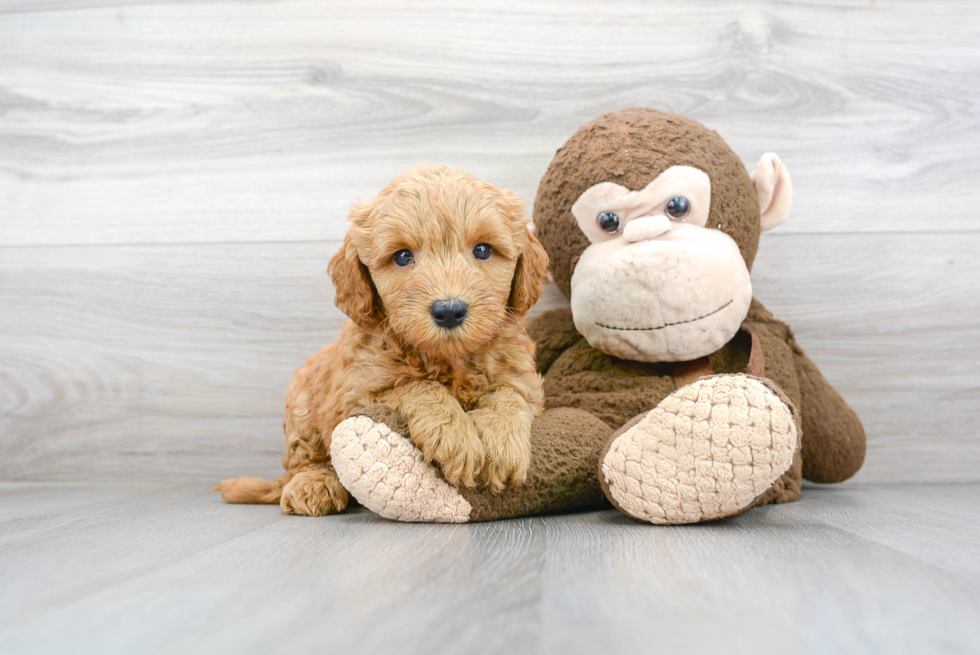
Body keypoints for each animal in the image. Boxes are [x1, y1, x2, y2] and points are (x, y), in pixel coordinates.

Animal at [213, 164, 548, 516]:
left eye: (483, 249)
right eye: (402, 256)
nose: (449, 310)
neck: (447, 359)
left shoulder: (523, 379)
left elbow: (508, 395)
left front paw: (501, 444)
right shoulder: (358, 393)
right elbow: (416, 386)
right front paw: (454, 434)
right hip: (302, 404)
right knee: (303, 458)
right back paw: (313, 485)